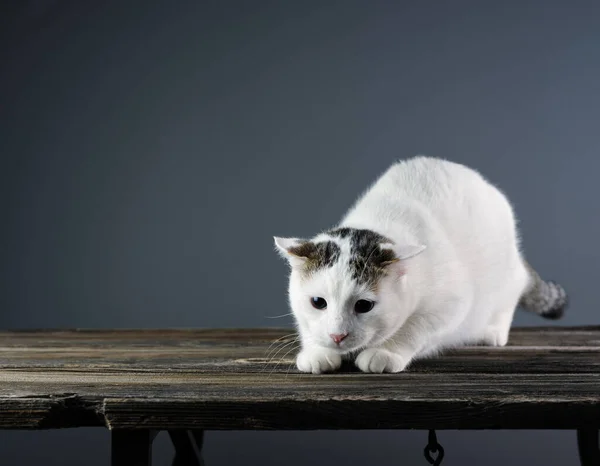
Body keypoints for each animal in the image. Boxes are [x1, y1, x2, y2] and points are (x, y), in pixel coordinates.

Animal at [274, 157, 564, 374]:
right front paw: (318, 351)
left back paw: (491, 332)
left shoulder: (452, 302)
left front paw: (385, 352)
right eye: (317, 302)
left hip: (505, 277)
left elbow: (414, 328)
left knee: (510, 296)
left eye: (364, 306)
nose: (337, 336)